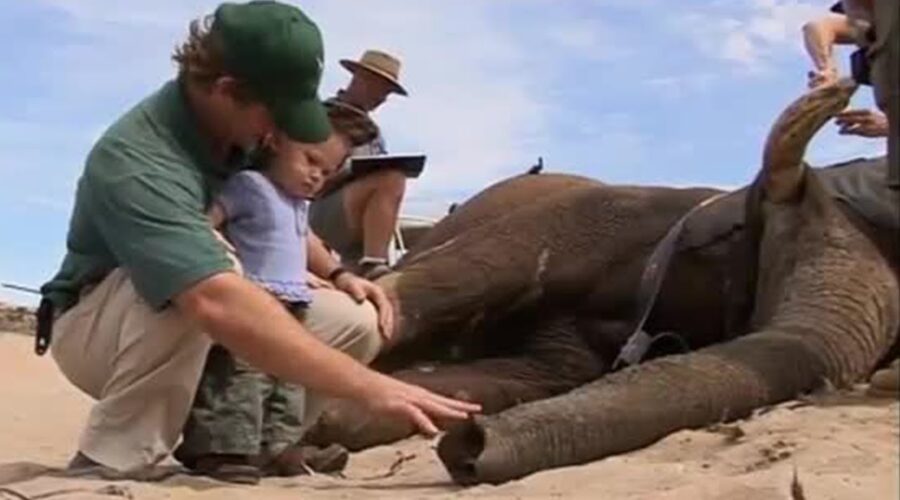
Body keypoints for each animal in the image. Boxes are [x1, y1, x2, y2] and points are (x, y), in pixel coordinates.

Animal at [304, 82, 900, 484]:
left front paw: (334, 426)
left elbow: (517, 378)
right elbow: (441, 286)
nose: (471, 444)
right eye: (789, 237)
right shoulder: (600, 216)